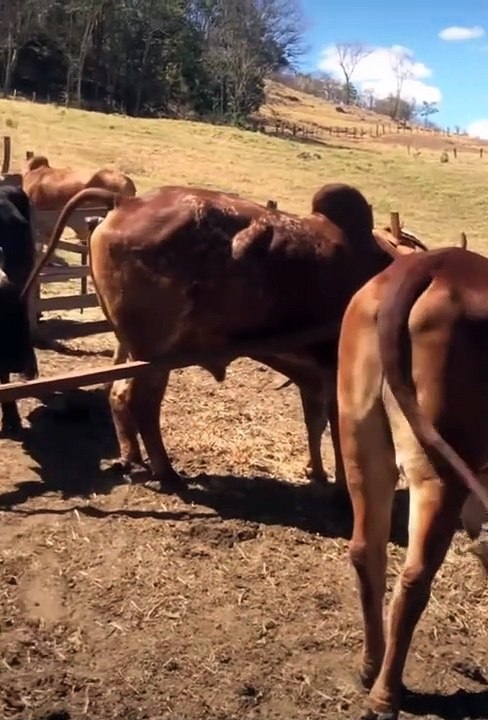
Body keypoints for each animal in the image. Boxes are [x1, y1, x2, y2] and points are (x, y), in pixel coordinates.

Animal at [22, 183, 428, 491]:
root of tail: (126, 202)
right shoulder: (336, 374)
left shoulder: (314, 375)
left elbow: (315, 423)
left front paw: (317, 473)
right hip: (155, 355)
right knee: (141, 404)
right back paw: (167, 474)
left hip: (130, 348)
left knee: (118, 395)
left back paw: (133, 458)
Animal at [337, 246, 488, 720]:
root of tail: (433, 263)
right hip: (439, 469)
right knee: (414, 578)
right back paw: (385, 695)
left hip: (359, 436)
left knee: (366, 550)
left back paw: (370, 668)